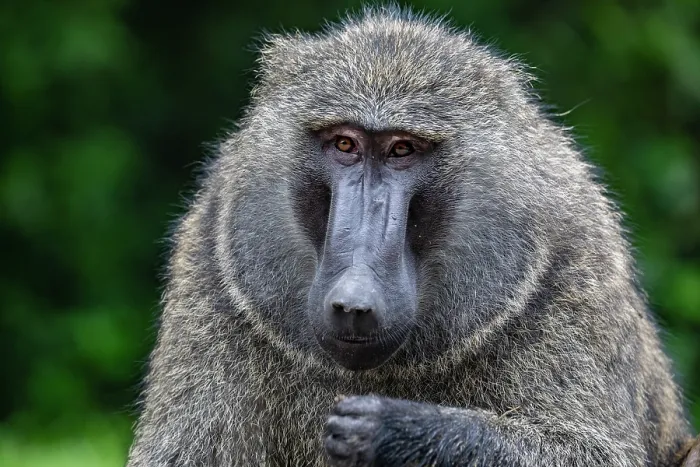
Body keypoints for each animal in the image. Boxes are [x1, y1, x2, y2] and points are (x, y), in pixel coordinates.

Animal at [127, 6, 696, 467]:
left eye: (403, 149)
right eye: (345, 145)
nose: (353, 302)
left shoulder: (571, 260)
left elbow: (586, 452)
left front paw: (395, 429)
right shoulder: (212, 260)